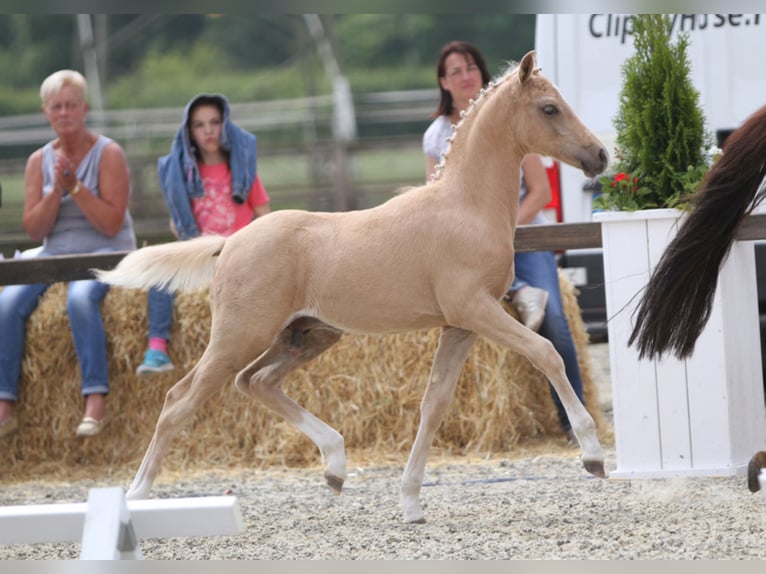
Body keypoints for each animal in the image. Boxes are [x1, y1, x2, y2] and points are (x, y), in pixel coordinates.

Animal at [94, 50, 609, 524]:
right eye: (549, 108)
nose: (600, 155)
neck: (464, 206)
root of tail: (230, 242)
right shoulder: (477, 310)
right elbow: (546, 352)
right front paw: (593, 456)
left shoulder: (459, 326)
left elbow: (434, 404)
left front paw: (411, 502)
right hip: (238, 336)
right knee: (179, 400)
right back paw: (136, 496)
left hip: (308, 335)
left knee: (256, 381)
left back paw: (336, 466)